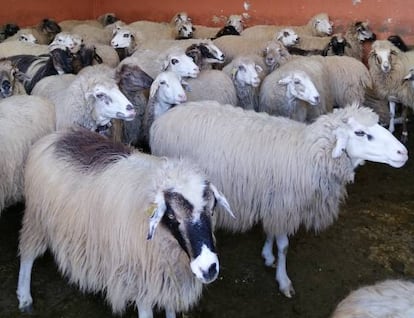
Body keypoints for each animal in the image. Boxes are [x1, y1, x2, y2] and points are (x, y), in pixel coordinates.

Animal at [16, 126, 234, 318]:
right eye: (171, 216)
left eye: (211, 209)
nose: (208, 268)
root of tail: (54, 136)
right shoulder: (139, 278)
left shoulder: (167, 279)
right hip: (36, 218)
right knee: (27, 255)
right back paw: (24, 296)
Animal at [150, 101, 408, 298]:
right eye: (361, 133)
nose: (403, 153)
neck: (309, 153)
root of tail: (161, 119)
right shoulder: (285, 204)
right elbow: (284, 246)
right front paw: (283, 280)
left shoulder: (275, 202)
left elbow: (271, 234)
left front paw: (267, 255)